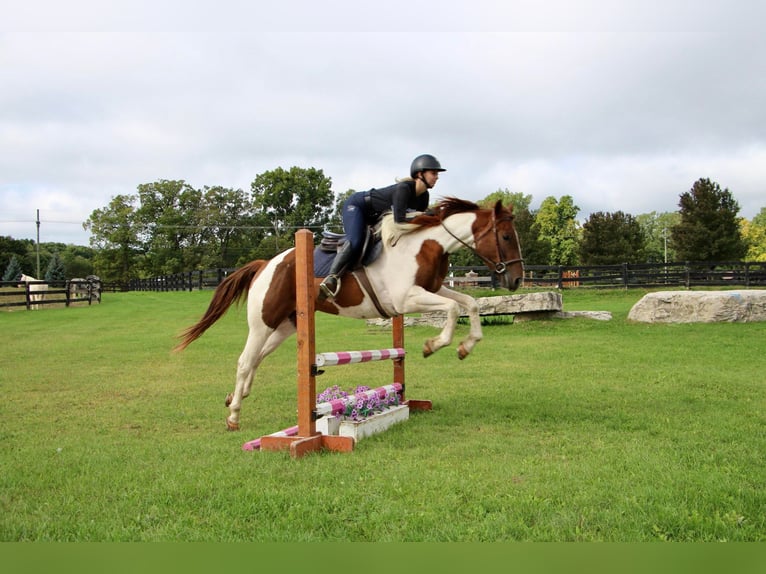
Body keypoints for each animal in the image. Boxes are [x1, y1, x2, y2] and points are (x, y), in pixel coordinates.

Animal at [175, 198, 524, 432]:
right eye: (506, 237)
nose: (517, 280)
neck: (425, 244)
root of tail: (265, 264)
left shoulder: (431, 290)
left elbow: (469, 304)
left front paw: (466, 346)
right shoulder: (407, 298)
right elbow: (453, 309)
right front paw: (433, 346)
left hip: (285, 326)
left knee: (257, 358)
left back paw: (236, 396)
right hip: (263, 322)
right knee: (245, 360)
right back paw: (233, 415)